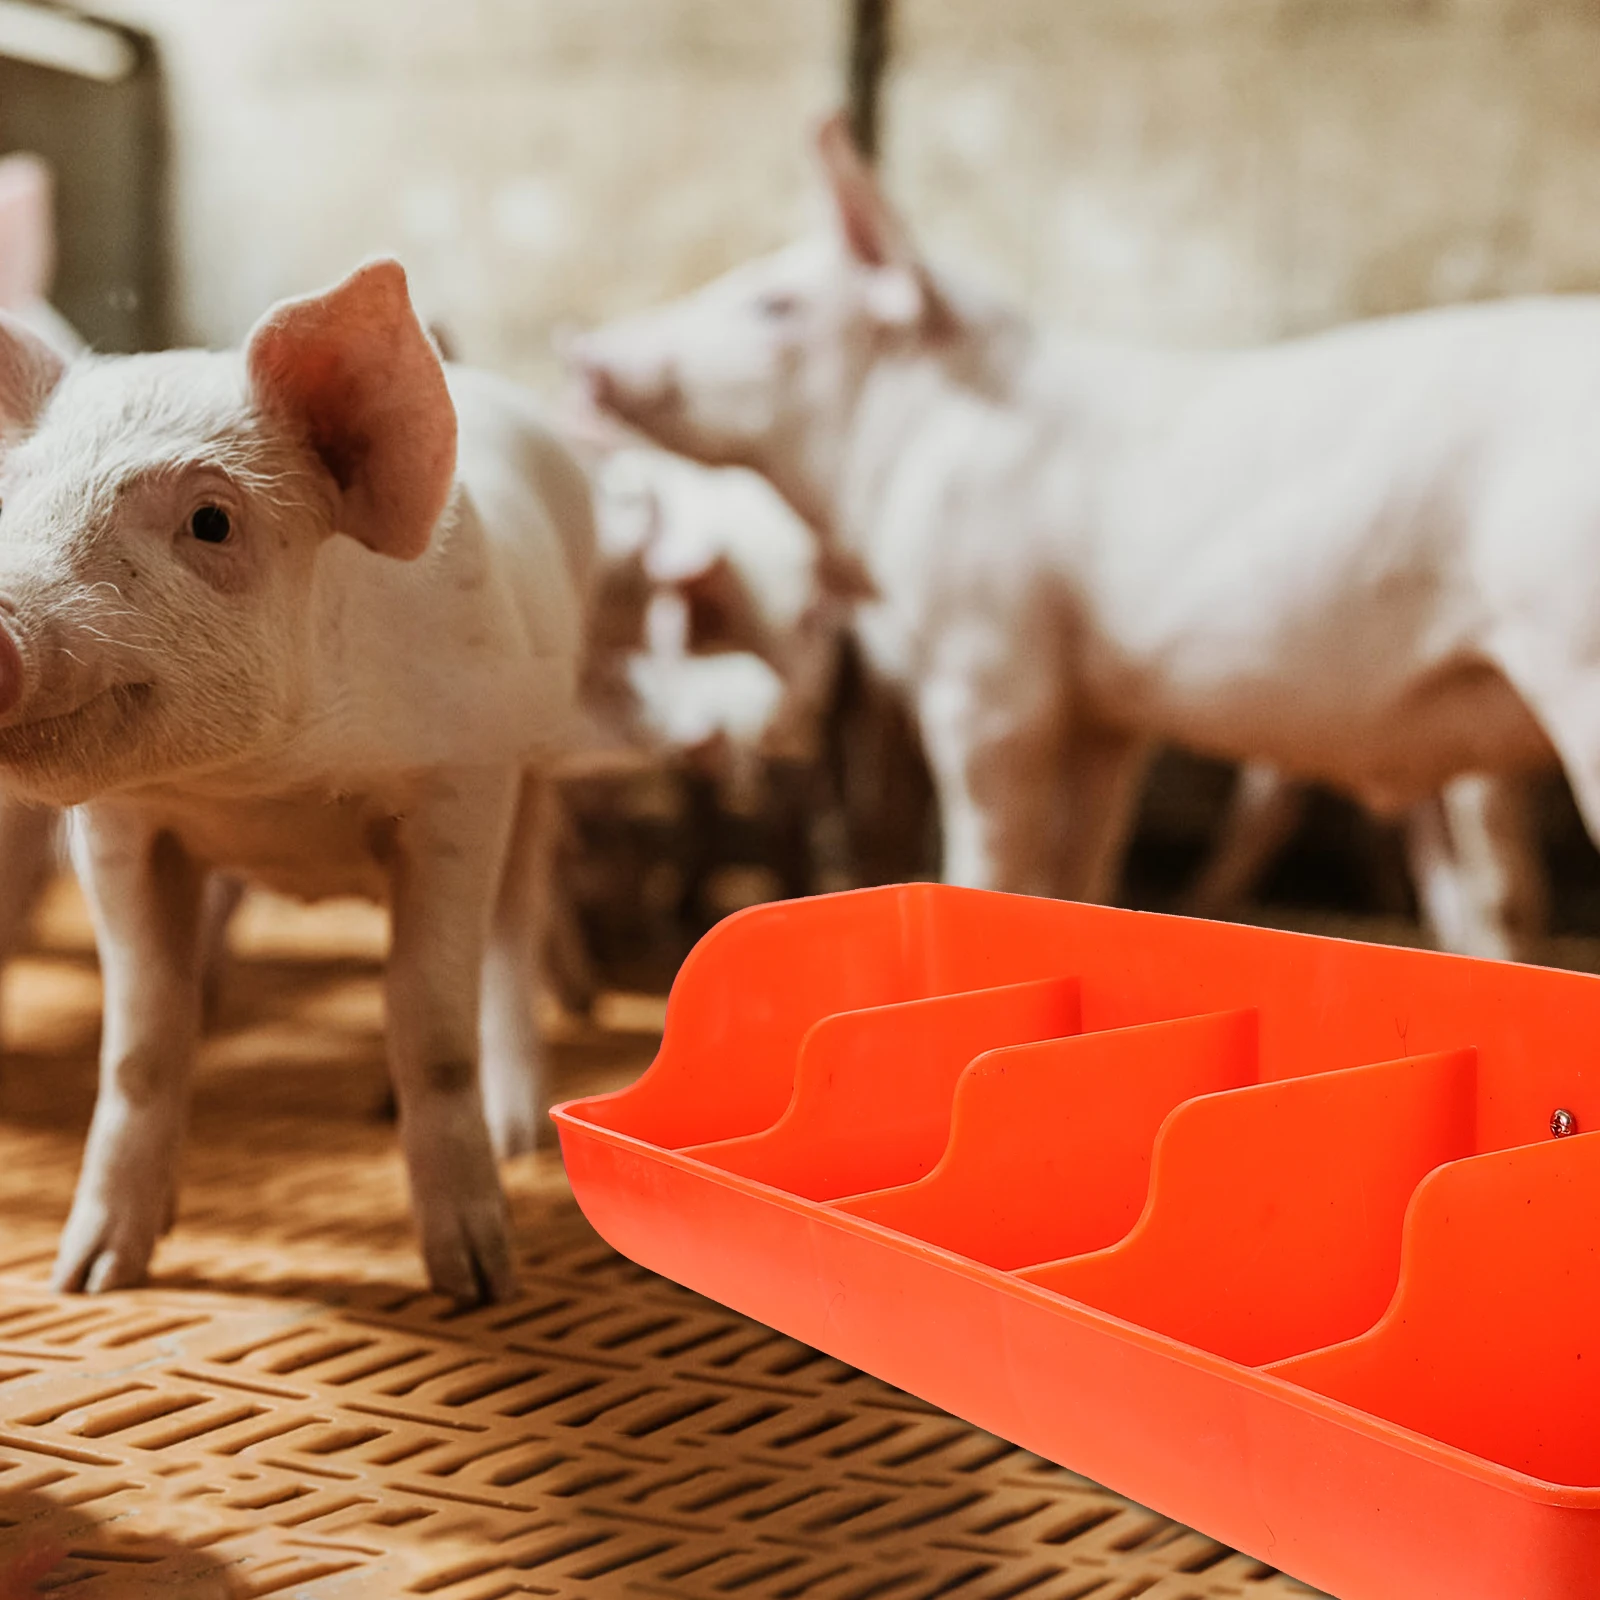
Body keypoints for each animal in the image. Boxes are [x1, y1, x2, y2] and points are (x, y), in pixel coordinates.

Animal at [0, 258, 591, 1301]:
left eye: (211, 521)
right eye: (4, 501)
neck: (271, 789)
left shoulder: (461, 781)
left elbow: (429, 1018)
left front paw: (476, 1283)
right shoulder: (124, 826)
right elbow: (143, 1040)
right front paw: (92, 1277)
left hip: (540, 762)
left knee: (515, 929)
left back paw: (515, 1130)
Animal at [568, 113, 1583, 962]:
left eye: (772, 304)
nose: (583, 355)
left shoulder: (987, 667)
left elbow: (993, 847)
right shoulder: (1102, 712)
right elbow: (1079, 865)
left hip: (1571, 654)